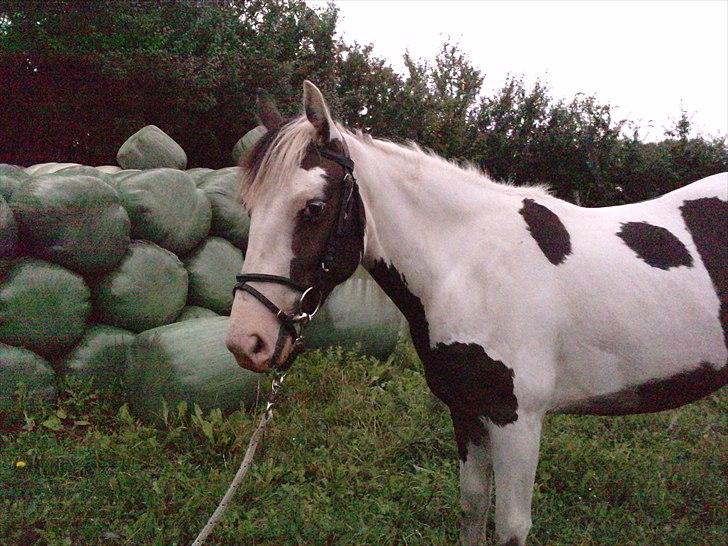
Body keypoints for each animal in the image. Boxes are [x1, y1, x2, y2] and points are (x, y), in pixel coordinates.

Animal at [226, 81, 727, 545]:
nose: (247, 341)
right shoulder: (466, 411)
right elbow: (472, 507)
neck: (473, 267)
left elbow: (510, 527)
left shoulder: (517, 420)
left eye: (313, 208)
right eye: (249, 206)